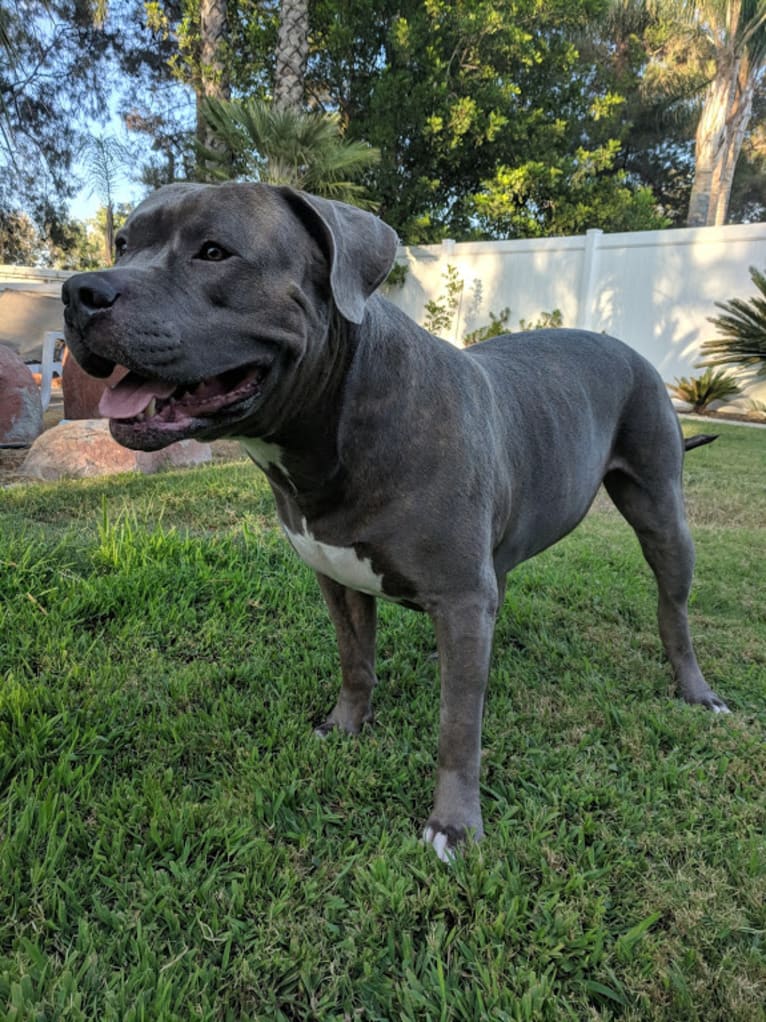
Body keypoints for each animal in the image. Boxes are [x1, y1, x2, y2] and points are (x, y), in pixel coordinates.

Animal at [63, 181, 727, 862]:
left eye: (214, 251)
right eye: (123, 244)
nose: (79, 291)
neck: (337, 421)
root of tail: (627, 348)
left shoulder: (460, 596)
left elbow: (458, 727)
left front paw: (454, 824)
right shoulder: (341, 579)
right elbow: (356, 663)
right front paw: (345, 726)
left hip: (662, 517)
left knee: (673, 612)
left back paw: (696, 690)